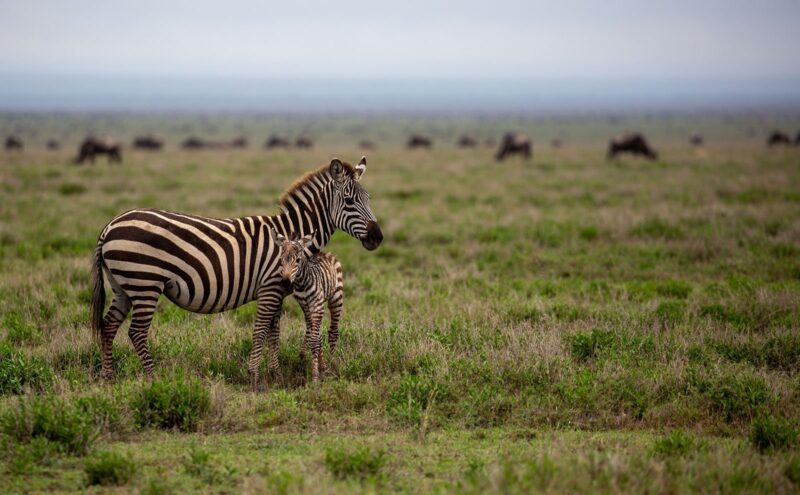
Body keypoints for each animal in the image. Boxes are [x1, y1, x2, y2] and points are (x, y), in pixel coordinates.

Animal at [89, 157, 382, 390]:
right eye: (349, 201)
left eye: (369, 199)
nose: (377, 238)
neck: (292, 235)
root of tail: (110, 226)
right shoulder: (269, 288)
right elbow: (260, 330)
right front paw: (255, 379)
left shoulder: (277, 291)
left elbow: (274, 331)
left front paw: (274, 375)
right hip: (145, 283)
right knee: (137, 332)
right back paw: (153, 379)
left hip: (123, 286)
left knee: (108, 325)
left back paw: (108, 377)